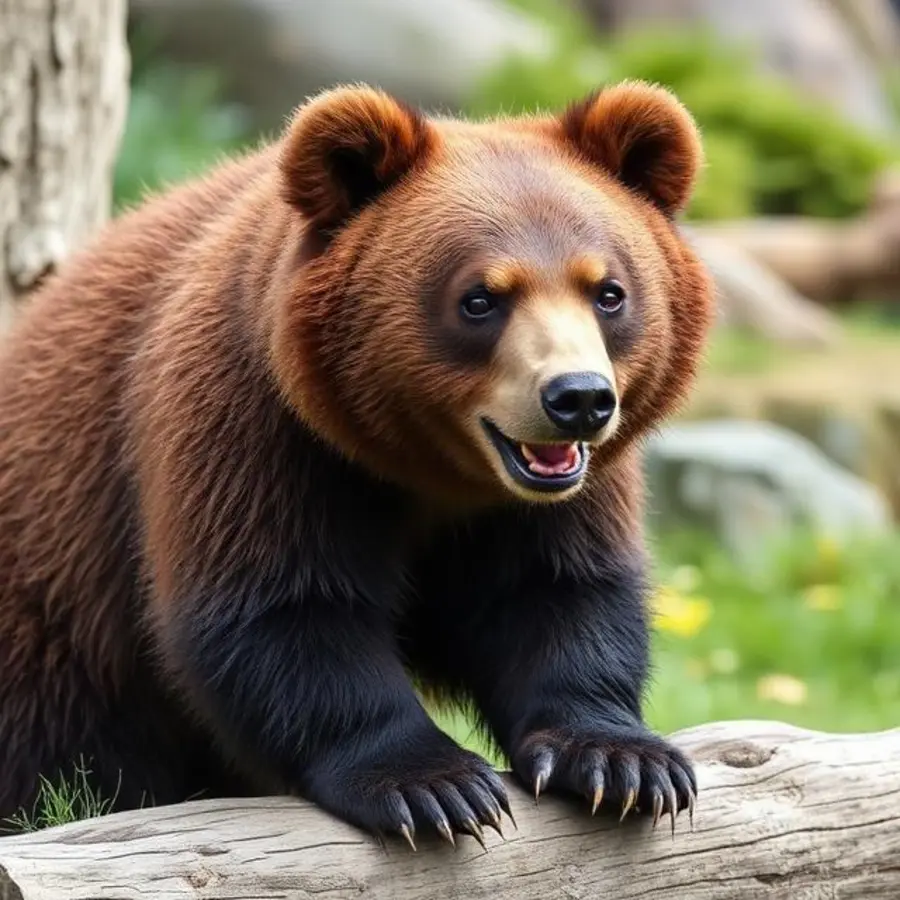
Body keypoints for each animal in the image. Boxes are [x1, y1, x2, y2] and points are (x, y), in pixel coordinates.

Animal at [0, 80, 715, 845]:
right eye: (480, 298)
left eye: (608, 291)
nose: (578, 398)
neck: (432, 472)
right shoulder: (256, 426)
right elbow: (284, 608)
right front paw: (435, 787)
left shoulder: (565, 493)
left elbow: (558, 589)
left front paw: (625, 763)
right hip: (55, 611)